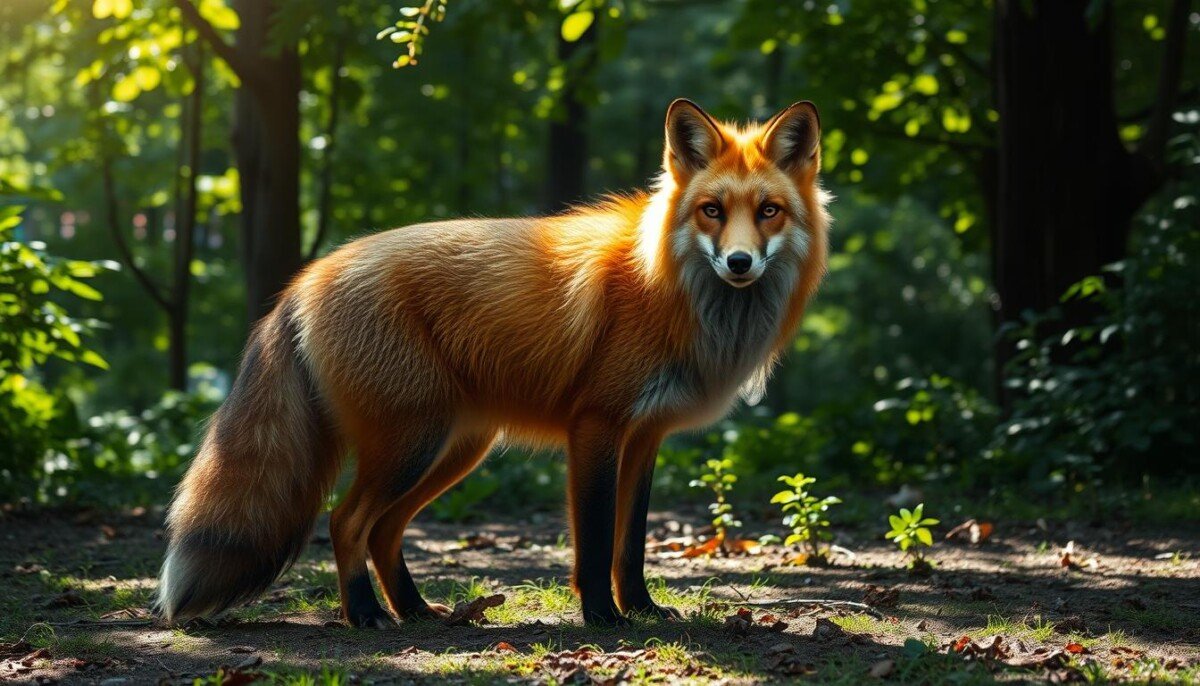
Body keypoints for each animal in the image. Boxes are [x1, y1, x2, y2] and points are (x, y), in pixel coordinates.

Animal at [156, 98, 830, 628]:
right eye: (712, 210)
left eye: (768, 211)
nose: (740, 263)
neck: (667, 287)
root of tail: (304, 279)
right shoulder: (595, 426)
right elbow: (594, 540)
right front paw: (602, 618)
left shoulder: (645, 436)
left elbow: (631, 543)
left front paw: (640, 609)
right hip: (411, 443)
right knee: (345, 522)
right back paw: (366, 615)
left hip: (453, 449)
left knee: (383, 530)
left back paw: (415, 612)